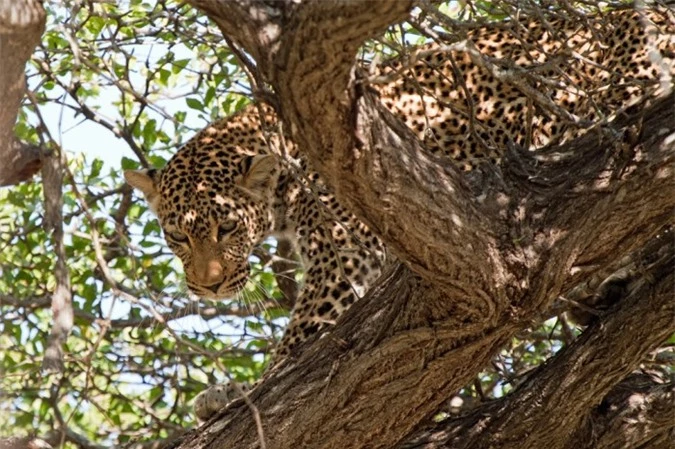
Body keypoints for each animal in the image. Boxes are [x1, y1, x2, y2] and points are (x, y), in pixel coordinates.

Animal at [124, 6, 672, 420]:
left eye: (227, 227)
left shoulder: (342, 258)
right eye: (177, 237)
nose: (207, 286)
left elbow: (297, 345)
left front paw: (236, 394)